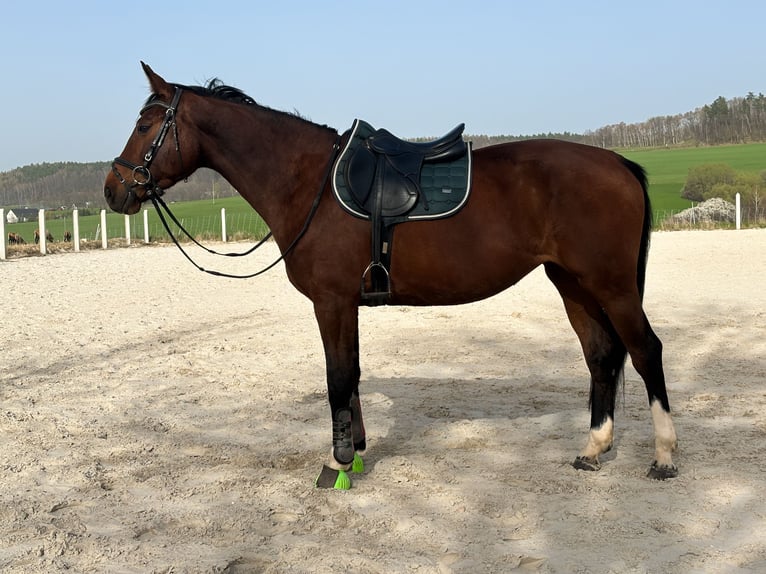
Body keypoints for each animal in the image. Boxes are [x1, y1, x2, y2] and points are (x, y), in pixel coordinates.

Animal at [104, 63, 678, 488]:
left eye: (144, 126)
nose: (114, 190)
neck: (307, 182)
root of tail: (619, 164)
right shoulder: (344, 304)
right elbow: (351, 373)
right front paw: (355, 452)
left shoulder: (331, 301)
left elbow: (338, 377)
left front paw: (336, 465)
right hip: (572, 283)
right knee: (601, 355)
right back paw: (593, 449)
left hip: (612, 286)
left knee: (645, 351)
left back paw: (665, 457)